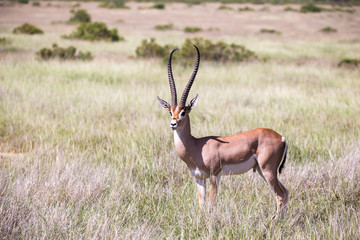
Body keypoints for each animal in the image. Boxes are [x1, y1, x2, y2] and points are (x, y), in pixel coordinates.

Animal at [158, 45, 290, 219]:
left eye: (183, 112)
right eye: (170, 111)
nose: (173, 124)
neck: (196, 146)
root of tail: (281, 137)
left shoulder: (215, 175)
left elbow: (212, 204)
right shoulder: (199, 177)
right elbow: (201, 204)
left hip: (268, 171)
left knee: (281, 194)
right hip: (263, 171)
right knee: (286, 192)